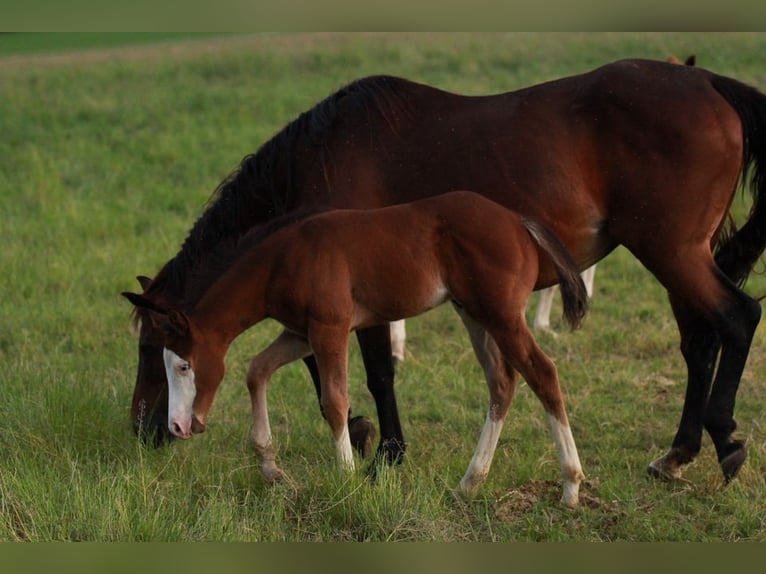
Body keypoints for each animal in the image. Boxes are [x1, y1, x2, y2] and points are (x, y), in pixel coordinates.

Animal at [123, 192, 592, 508]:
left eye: (183, 366)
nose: (178, 426)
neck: (283, 259)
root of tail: (518, 221)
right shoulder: (300, 332)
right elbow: (256, 371)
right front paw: (270, 468)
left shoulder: (330, 328)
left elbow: (334, 400)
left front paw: (348, 479)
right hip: (474, 314)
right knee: (502, 382)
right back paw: (469, 483)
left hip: (501, 316)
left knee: (542, 373)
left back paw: (570, 486)